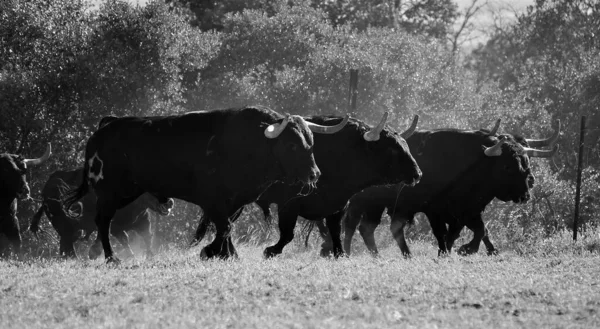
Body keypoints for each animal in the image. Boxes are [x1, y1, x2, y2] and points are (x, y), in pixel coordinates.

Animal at [29, 169, 173, 258]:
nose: (170, 202)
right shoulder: (114, 226)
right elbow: (120, 238)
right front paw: (95, 253)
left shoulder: (143, 220)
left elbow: (147, 237)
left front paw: (149, 255)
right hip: (65, 226)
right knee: (68, 243)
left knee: (65, 244)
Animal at [62, 106, 346, 262]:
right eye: (290, 145)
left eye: (310, 141)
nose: (314, 174)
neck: (248, 143)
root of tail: (105, 127)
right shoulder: (214, 200)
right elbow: (223, 227)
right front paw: (211, 251)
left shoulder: (234, 201)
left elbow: (226, 227)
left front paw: (227, 254)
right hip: (110, 192)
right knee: (103, 222)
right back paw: (112, 258)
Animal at [192, 111, 422, 258]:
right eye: (391, 149)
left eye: (405, 145)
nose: (418, 174)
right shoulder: (289, 205)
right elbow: (287, 234)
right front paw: (270, 251)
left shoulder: (338, 206)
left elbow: (335, 232)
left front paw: (339, 254)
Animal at [316, 120, 560, 256]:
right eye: (507, 165)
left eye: (526, 160)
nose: (526, 193)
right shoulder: (436, 210)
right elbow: (446, 232)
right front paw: (458, 250)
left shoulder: (467, 211)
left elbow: (478, 230)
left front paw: (468, 249)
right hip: (362, 204)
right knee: (352, 227)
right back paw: (348, 251)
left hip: (380, 207)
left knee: (372, 229)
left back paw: (396, 255)